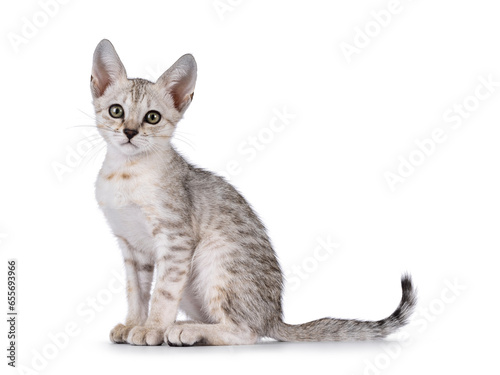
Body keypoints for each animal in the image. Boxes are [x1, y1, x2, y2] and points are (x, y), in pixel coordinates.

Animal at [92, 39, 416, 348]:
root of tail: (274, 316)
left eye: (153, 117)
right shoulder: (132, 247)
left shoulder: (176, 241)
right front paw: (133, 324)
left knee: (247, 332)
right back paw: (185, 325)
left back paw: (186, 331)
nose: (130, 132)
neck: (125, 174)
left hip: (214, 257)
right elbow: (136, 292)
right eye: (116, 111)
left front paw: (152, 328)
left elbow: (163, 293)